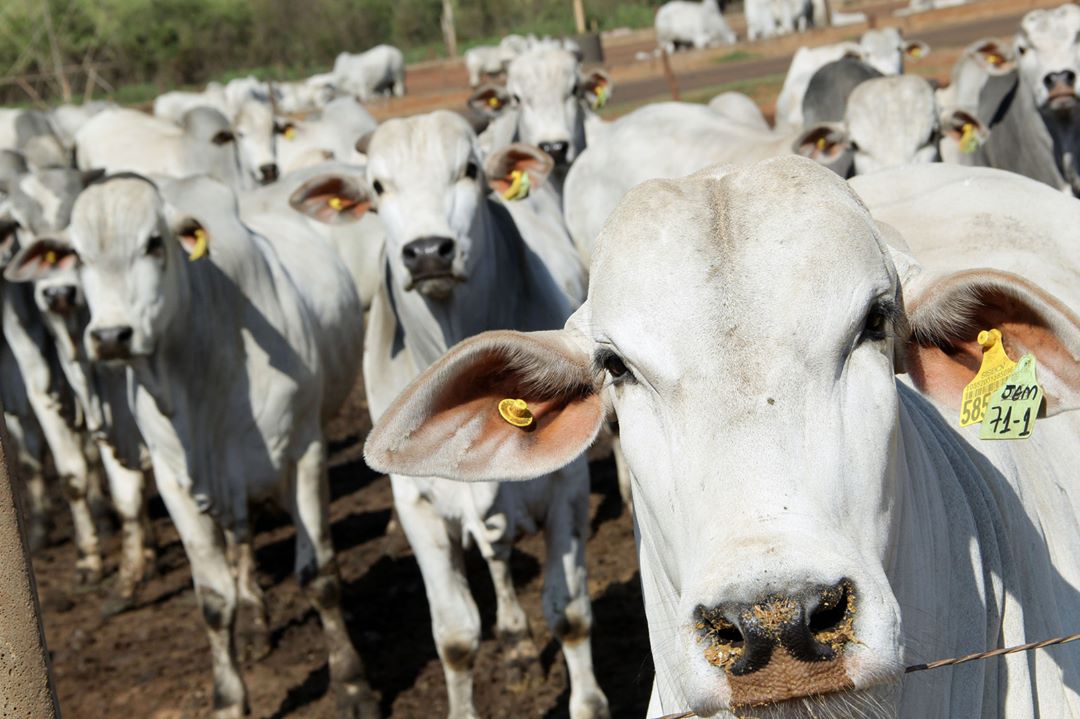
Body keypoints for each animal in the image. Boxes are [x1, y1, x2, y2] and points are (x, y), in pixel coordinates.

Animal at [16, 173, 382, 716]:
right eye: (77, 255)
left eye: (154, 243)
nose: (110, 336)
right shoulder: (177, 481)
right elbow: (213, 599)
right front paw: (229, 696)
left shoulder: (306, 454)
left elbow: (320, 577)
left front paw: (353, 684)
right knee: (239, 542)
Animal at [287, 107, 609, 716]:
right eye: (378, 186)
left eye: (469, 170)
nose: (427, 251)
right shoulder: (417, 504)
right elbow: (456, 638)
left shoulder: (568, 487)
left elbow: (571, 615)